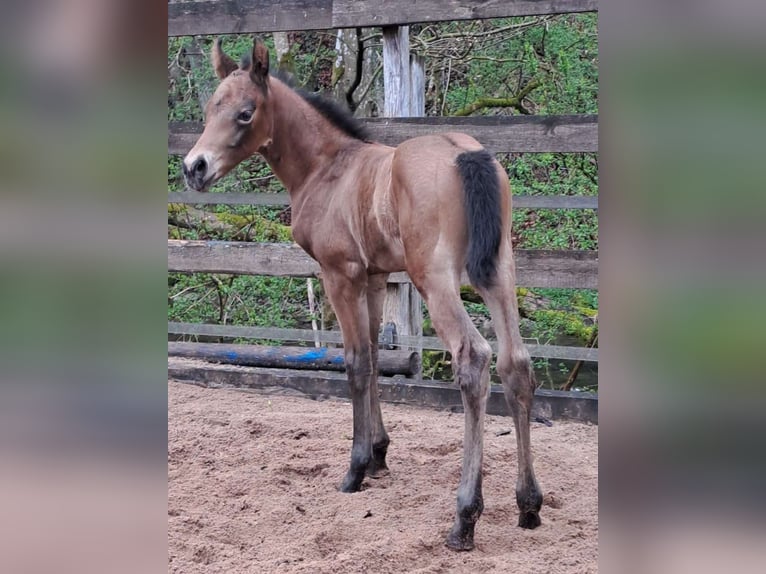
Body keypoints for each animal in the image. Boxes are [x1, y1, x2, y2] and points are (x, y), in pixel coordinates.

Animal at [182, 38, 542, 551]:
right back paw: (529, 505)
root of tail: (464, 154)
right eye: (211, 108)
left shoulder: (339, 274)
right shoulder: (373, 277)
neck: (327, 167)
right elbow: (374, 356)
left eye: (246, 113)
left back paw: (464, 518)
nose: (194, 168)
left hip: (435, 278)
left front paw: (354, 470)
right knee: (516, 364)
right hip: (500, 271)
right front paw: (378, 455)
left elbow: (354, 362)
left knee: (473, 359)